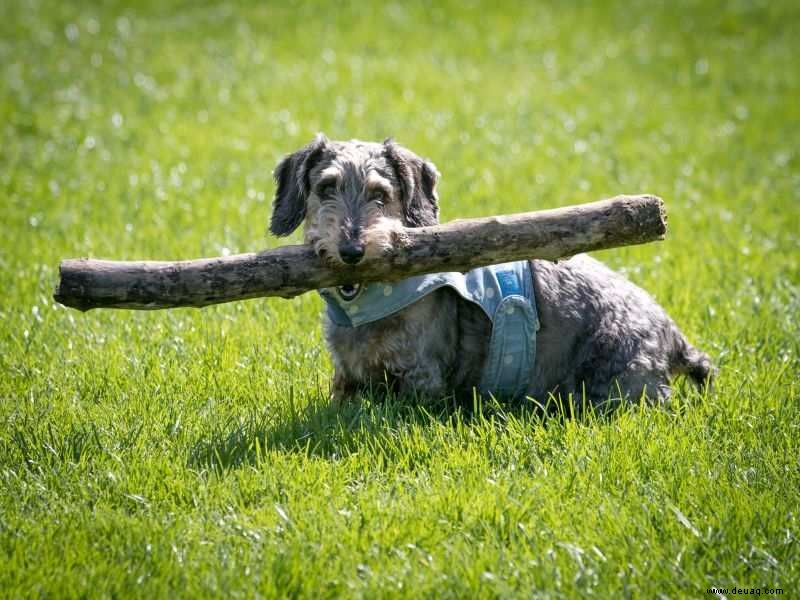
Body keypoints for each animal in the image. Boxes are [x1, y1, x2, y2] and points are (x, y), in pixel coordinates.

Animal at [268, 134, 712, 410]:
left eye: (381, 195)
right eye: (326, 187)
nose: (352, 250)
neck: (369, 305)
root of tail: (672, 335)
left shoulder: (421, 377)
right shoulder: (346, 375)